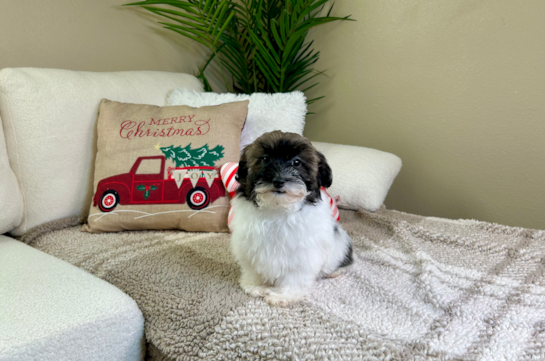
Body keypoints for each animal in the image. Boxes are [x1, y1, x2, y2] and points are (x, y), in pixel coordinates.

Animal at [230, 131, 352, 306]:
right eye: (265, 159)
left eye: (297, 162)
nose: (279, 181)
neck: (278, 208)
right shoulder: (249, 245)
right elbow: (253, 266)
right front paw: (256, 286)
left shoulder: (302, 254)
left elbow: (295, 275)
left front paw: (284, 295)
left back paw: (334, 272)